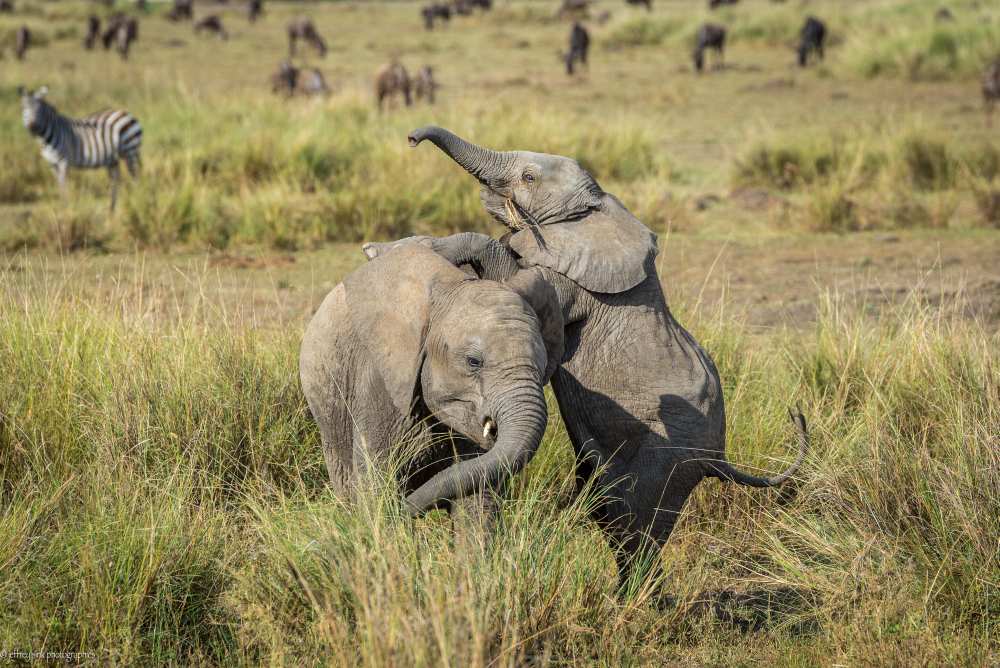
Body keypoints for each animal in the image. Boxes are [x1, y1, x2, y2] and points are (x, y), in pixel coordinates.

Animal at [298, 245, 564, 520]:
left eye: (544, 365)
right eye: (473, 362)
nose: (407, 506)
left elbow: (476, 495)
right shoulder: (380, 382)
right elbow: (376, 484)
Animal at [364, 124, 808, 584]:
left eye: (528, 177)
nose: (412, 139)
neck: (595, 210)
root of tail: (719, 458)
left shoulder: (575, 286)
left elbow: (510, 272)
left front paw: (403, 248)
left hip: (667, 458)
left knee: (634, 522)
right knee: (610, 515)